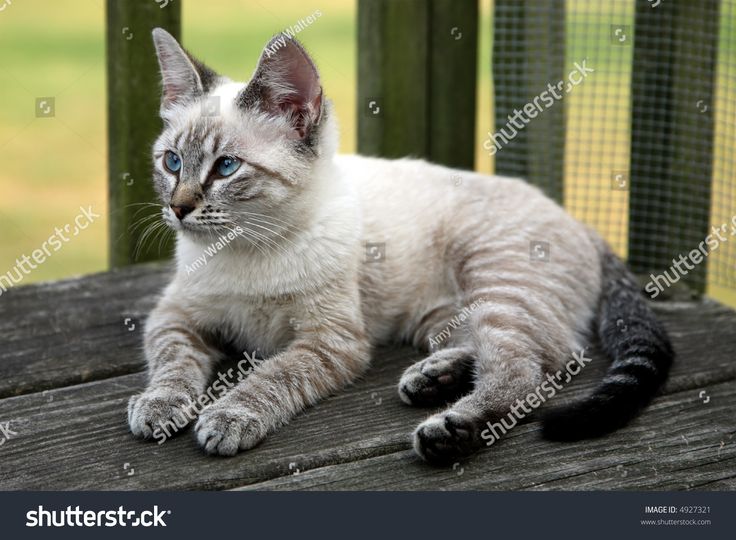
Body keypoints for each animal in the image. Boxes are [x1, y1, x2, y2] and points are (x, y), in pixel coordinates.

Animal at [126, 27, 672, 462]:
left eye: (225, 168)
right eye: (172, 162)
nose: (178, 207)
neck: (244, 250)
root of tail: (581, 222)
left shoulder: (330, 341)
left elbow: (272, 375)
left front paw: (229, 417)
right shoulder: (175, 315)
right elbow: (173, 363)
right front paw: (158, 407)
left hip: (498, 284)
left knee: (534, 364)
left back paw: (452, 429)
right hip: (441, 314)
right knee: (520, 348)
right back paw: (434, 377)